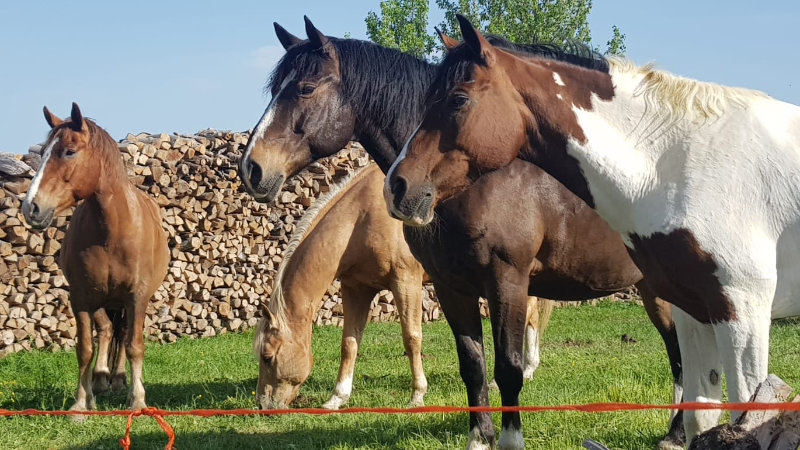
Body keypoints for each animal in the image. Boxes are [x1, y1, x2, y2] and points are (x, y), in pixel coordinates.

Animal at [21, 103, 169, 412]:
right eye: (43, 152)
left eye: (69, 151)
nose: (31, 208)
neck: (111, 231)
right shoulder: (80, 297)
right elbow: (84, 349)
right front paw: (80, 403)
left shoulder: (136, 297)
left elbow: (134, 346)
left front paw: (138, 399)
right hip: (101, 299)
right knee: (106, 330)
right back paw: (101, 380)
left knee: (121, 334)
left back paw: (120, 380)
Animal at [252, 162, 429, 409]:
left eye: (267, 357)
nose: (262, 405)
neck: (362, 218)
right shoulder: (356, 289)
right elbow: (349, 344)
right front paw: (337, 398)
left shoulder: (406, 282)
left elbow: (411, 338)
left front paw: (417, 395)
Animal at [385, 14, 800, 445]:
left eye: (458, 100)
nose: (396, 186)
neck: (677, 164)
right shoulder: (695, 311)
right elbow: (701, 417)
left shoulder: (742, 312)